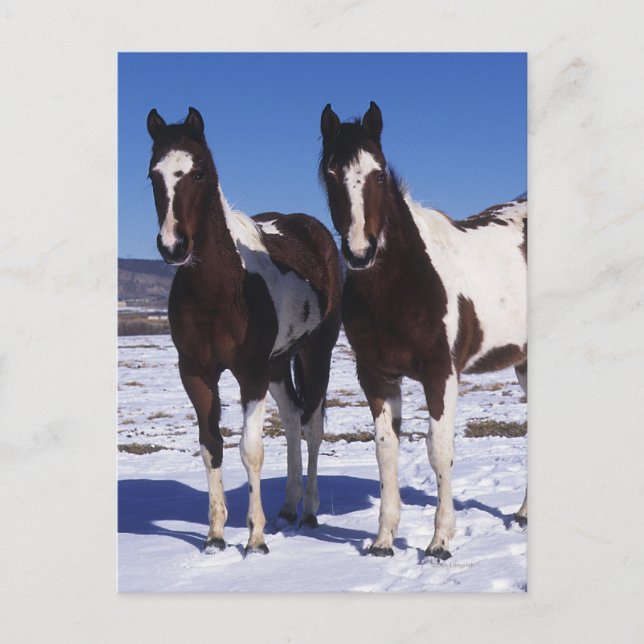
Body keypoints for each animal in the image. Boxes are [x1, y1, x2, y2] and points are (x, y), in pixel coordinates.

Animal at [146, 107, 342, 554]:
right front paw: (216, 535)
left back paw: (308, 512)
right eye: (153, 175)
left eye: (199, 172)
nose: (173, 246)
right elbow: (211, 447)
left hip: (315, 353)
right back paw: (286, 508)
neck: (221, 288)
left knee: (312, 427)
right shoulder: (196, 374)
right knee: (292, 420)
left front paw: (255, 539)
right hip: (279, 365)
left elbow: (250, 450)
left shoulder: (250, 373)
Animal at [319, 101, 527, 560]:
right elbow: (386, 452)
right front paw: (383, 540)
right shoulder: (376, 375)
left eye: (379, 173)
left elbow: (439, 450)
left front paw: (440, 542)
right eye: (330, 173)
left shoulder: (440, 373)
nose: (360, 253)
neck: (402, 281)